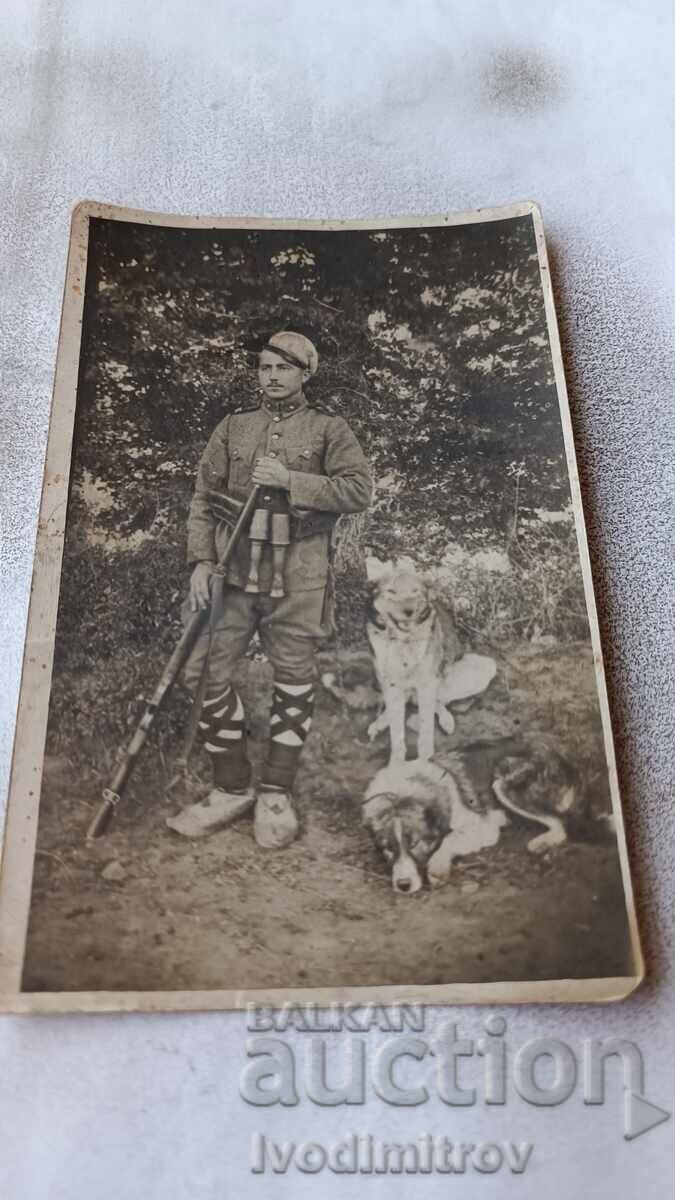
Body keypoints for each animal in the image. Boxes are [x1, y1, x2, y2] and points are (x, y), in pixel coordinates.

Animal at [360, 744, 607, 897]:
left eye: (414, 844)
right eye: (388, 848)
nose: (403, 885)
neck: (399, 794)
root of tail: (566, 760)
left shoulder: (482, 826)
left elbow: (449, 839)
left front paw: (437, 867)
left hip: (503, 782)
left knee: (561, 824)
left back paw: (541, 842)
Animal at [362, 559, 461, 763]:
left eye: (415, 591)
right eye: (391, 591)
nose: (408, 611)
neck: (403, 642)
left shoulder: (427, 682)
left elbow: (426, 724)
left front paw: (424, 758)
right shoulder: (391, 683)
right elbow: (396, 730)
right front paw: (397, 762)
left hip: (443, 669)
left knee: (437, 701)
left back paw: (446, 719)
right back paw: (381, 722)